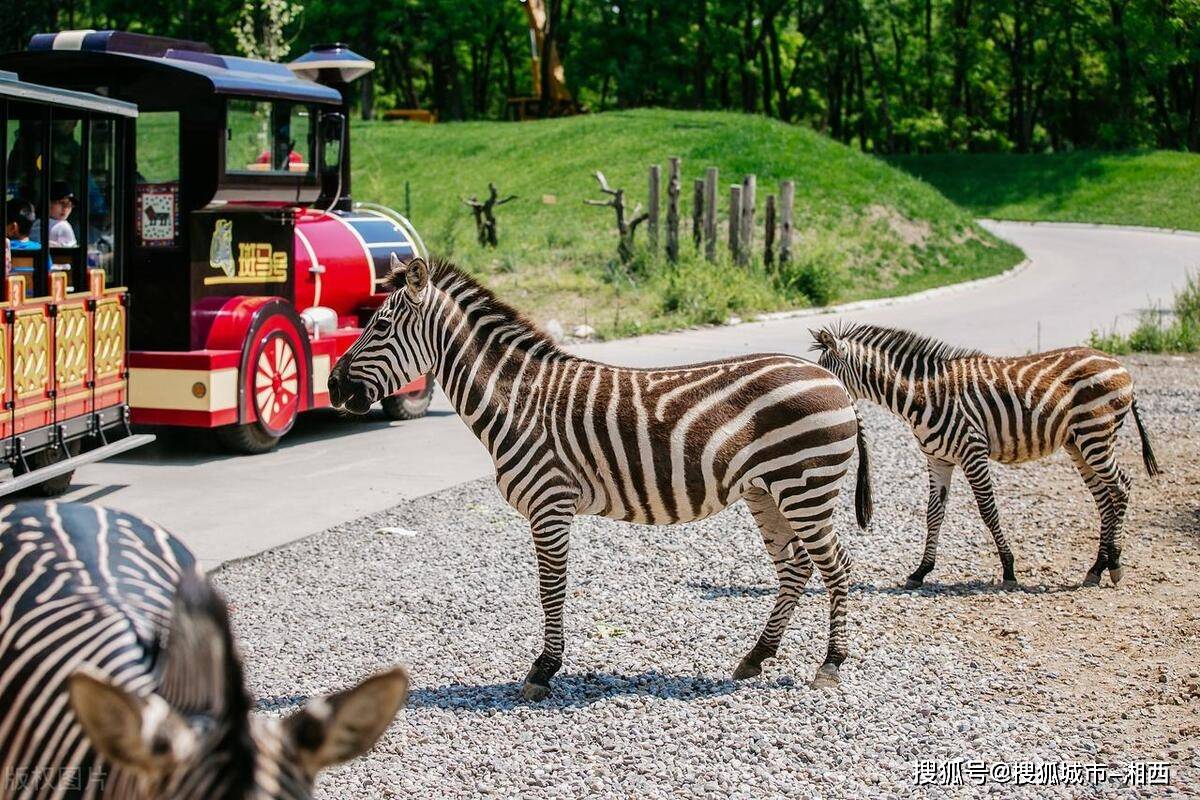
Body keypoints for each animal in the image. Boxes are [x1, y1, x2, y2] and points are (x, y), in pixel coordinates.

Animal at [328, 256, 873, 700]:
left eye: (379, 326)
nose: (333, 386)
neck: (517, 401)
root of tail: (832, 379)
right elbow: (552, 587)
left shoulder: (550, 503)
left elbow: (551, 587)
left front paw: (543, 670)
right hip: (767, 491)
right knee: (795, 567)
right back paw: (755, 657)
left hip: (804, 485)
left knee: (836, 566)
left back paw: (830, 666)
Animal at [811, 321, 1156, 592]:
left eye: (826, 370)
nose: (823, 396)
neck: (923, 395)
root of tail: (1120, 365)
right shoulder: (938, 459)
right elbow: (933, 513)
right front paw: (921, 571)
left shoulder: (972, 451)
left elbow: (988, 511)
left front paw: (1009, 569)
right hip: (1078, 443)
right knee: (1104, 497)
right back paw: (1097, 568)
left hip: (1095, 435)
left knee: (1121, 487)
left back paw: (1115, 564)